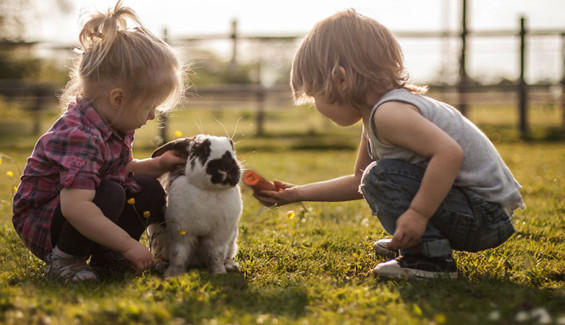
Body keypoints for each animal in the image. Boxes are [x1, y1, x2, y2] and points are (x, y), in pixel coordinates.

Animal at [148, 134, 242, 276]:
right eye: (201, 149)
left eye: (232, 148)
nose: (226, 166)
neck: (209, 189)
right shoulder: (181, 234)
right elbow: (179, 255)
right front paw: (172, 275)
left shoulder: (218, 236)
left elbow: (216, 256)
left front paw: (219, 273)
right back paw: (161, 266)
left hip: (232, 242)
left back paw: (231, 265)